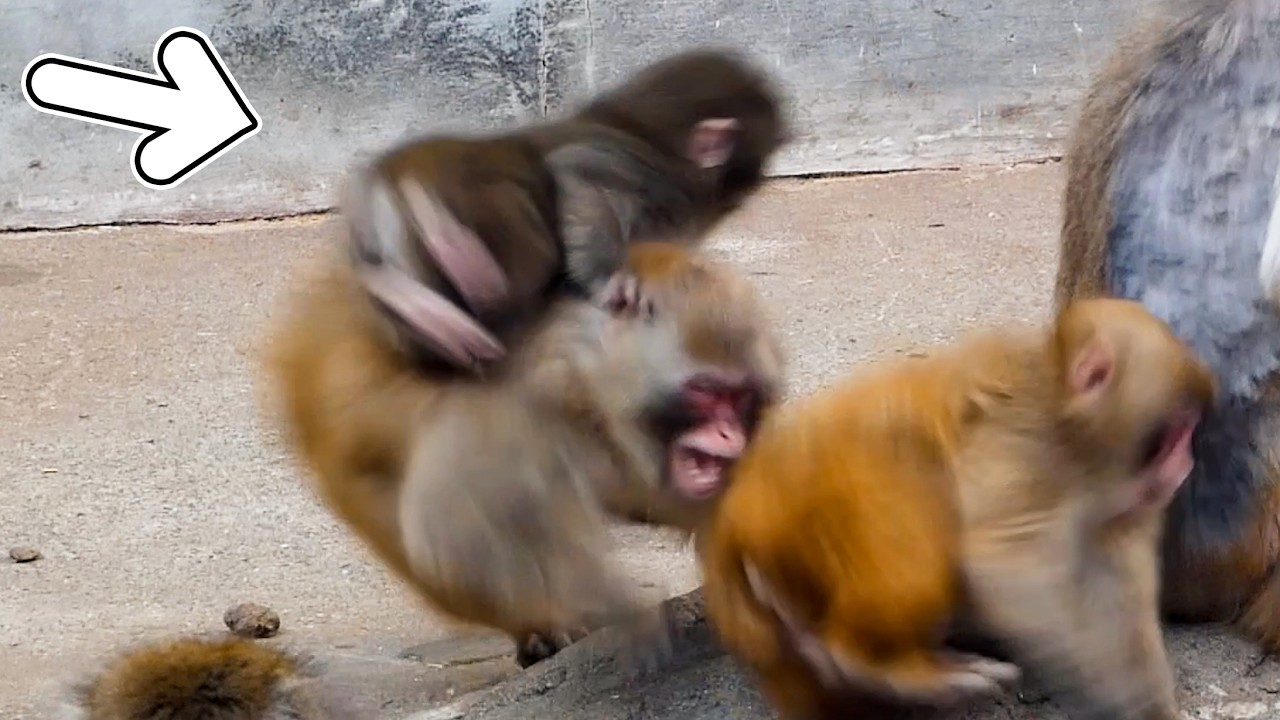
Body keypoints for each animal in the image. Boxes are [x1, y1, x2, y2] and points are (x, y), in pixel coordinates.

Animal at [260, 240, 785, 669]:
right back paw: (544, 627)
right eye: (706, 392)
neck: (589, 392)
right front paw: (630, 611)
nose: (730, 436)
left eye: (741, 396)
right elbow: (456, 536)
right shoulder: (508, 411)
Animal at [339, 47, 788, 373]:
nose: (752, 187)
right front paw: (610, 280)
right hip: (466, 193)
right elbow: (576, 173)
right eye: (755, 162)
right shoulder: (648, 175)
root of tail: (382, 178)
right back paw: (474, 277)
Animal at [697, 298, 1216, 720]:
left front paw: (1151, 705)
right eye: (1175, 434)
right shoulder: (1022, 446)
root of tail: (734, 513)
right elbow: (1005, 562)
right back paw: (877, 664)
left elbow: (1117, 576)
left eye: (1189, 430)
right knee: (907, 480)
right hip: (800, 504)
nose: (1186, 462)